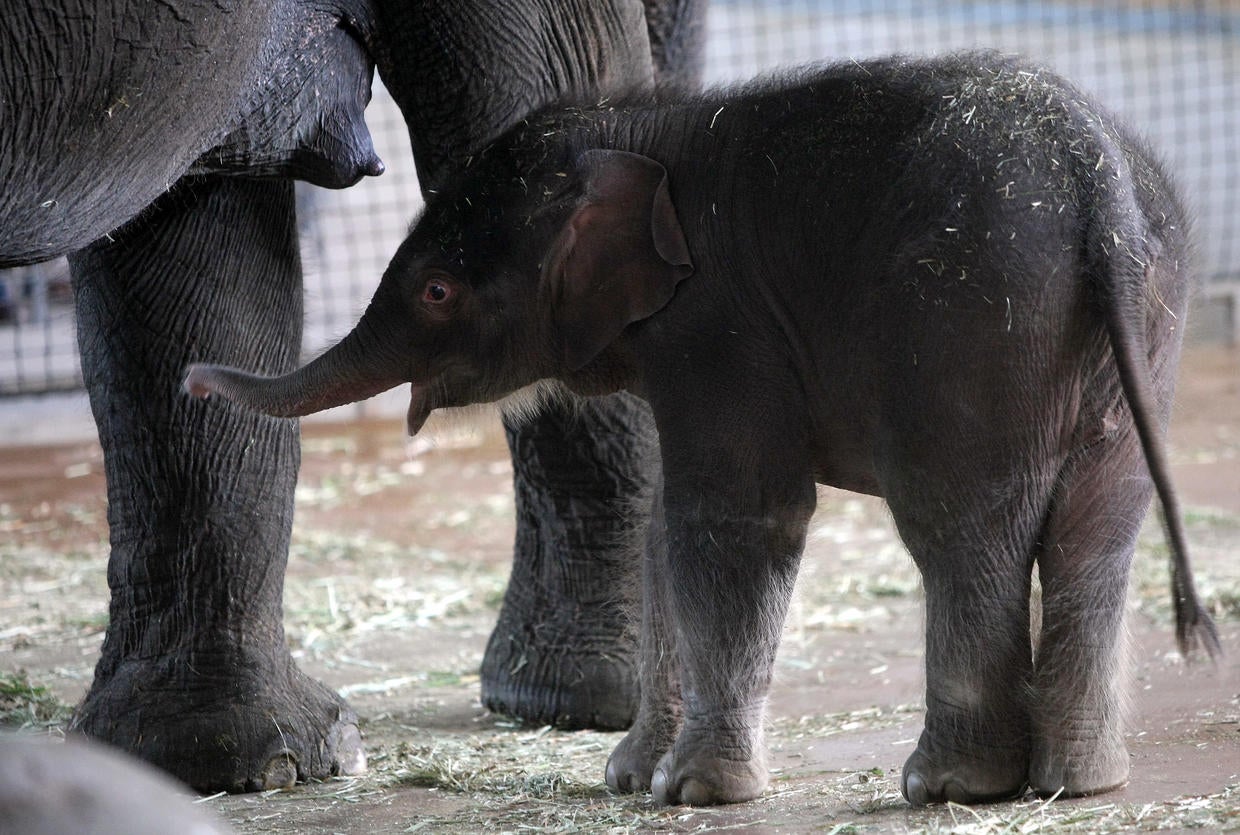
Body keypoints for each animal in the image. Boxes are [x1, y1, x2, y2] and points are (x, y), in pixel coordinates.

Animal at [186, 51, 1222, 807]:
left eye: (439, 291)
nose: (194, 380)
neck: (640, 134)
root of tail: (1100, 189)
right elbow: (664, 529)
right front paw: (628, 779)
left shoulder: (721, 326)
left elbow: (734, 521)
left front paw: (692, 793)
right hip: (1139, 331)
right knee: (1097, 528)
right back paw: (1080, 781)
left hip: (970, 315)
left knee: (961, 528)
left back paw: (947, 784)